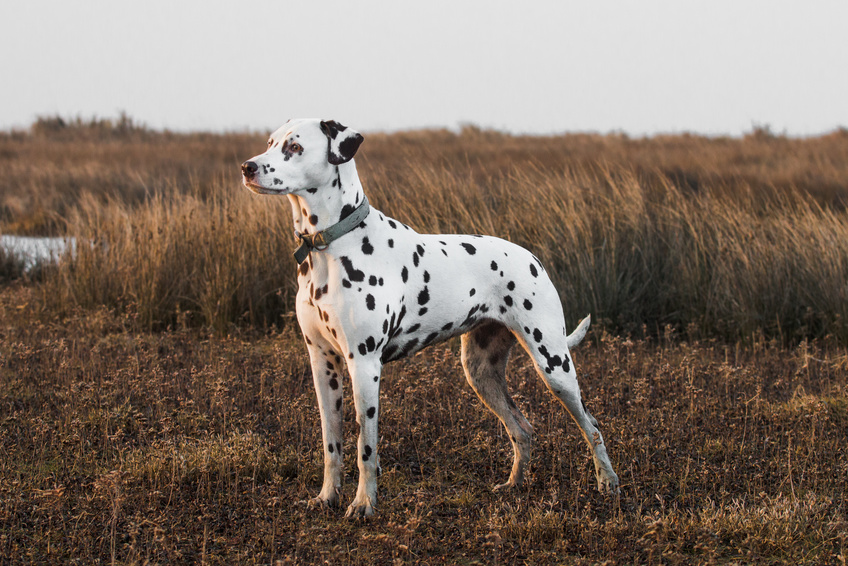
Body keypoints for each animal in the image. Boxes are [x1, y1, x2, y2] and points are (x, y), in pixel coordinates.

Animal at [242, 120, 620, 520]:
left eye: (295, 147)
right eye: (270, 142)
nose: (247, 167)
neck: (330, 246)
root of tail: (533, 259)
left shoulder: (364, 364)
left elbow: (365, 449)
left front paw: (364, 504)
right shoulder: (322, 363)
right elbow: (332, 444)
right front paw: (328, 497)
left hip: (554, 365)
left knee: (592, 426)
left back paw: (608, 483)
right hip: (480, 373)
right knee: (522, 428)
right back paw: (514, 484)